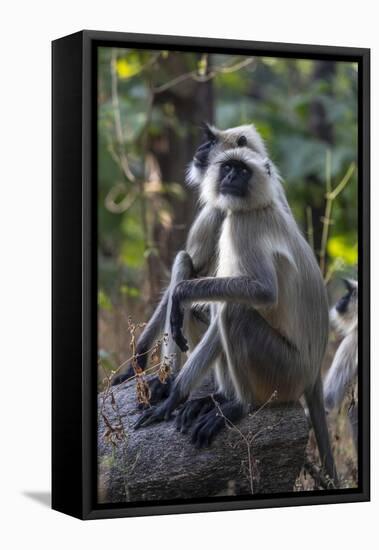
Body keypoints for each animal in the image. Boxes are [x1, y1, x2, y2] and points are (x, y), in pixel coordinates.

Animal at [132, 123, 336, 486]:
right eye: (227, 166)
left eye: (239, 170)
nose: (226, 175)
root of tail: (312, 374)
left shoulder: (233, 220)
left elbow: (260, 292)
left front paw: (169, 393)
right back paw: (213, 397)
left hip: (284, 371)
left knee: (230, 308)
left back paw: (238, 405)